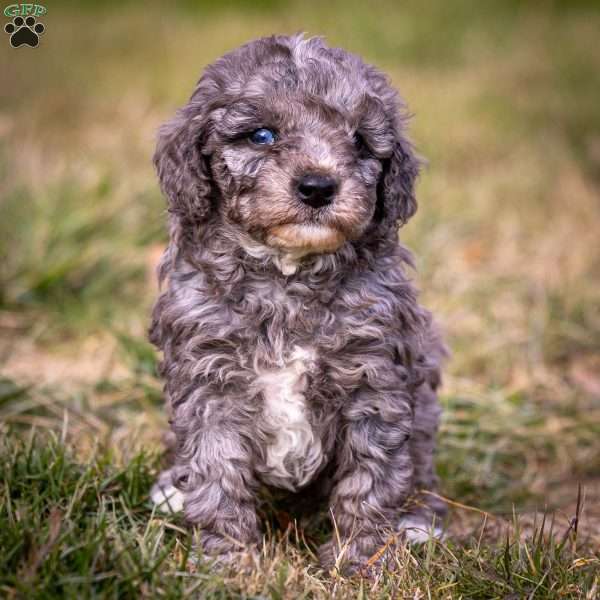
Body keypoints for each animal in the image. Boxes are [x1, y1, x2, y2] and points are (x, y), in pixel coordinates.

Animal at [151, 32, 446, 572]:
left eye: (359, 141)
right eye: (262, 136)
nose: (317, 187)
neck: (286, 276)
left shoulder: (375, 381)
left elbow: (370, 479)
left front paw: (362, 561)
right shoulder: (209, 382)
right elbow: (215, 473)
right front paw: (227, 561)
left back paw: (419, 520)